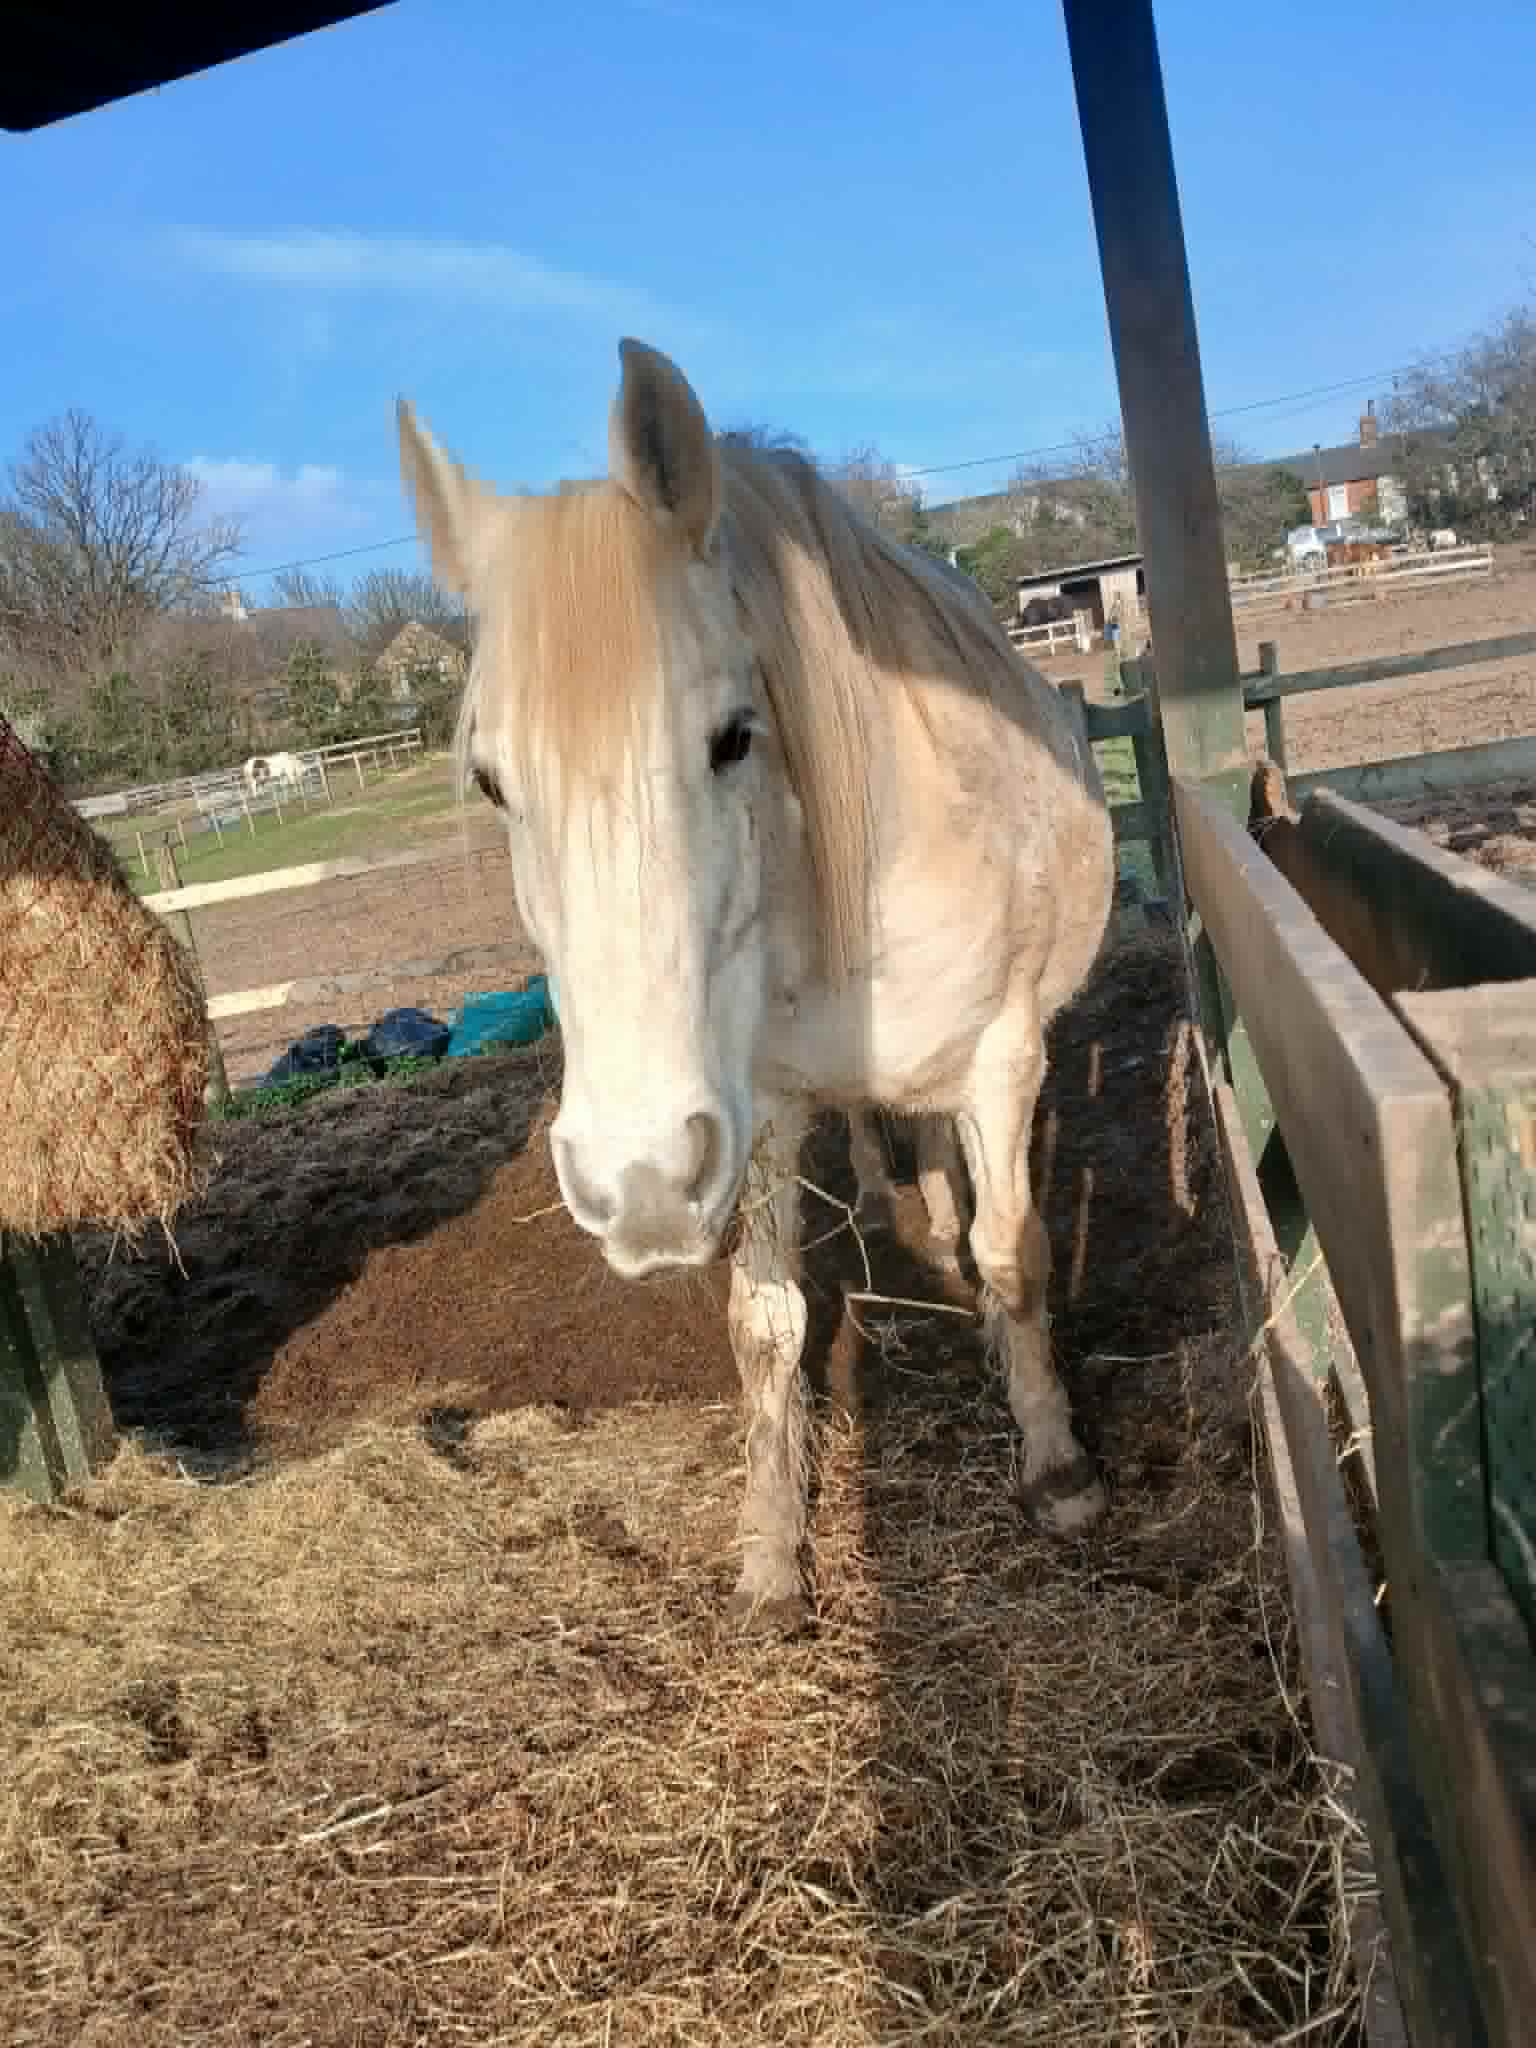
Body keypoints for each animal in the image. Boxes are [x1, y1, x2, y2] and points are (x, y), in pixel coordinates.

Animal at [396, 338, 1115, 1624]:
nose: (634, 1180)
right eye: (490, 780)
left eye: (735, 734)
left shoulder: (1003, 1059)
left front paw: (1057, 1463)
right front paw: (775, 1544)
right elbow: (768, 1322)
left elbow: (1014, 1255)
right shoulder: (765, 1104)